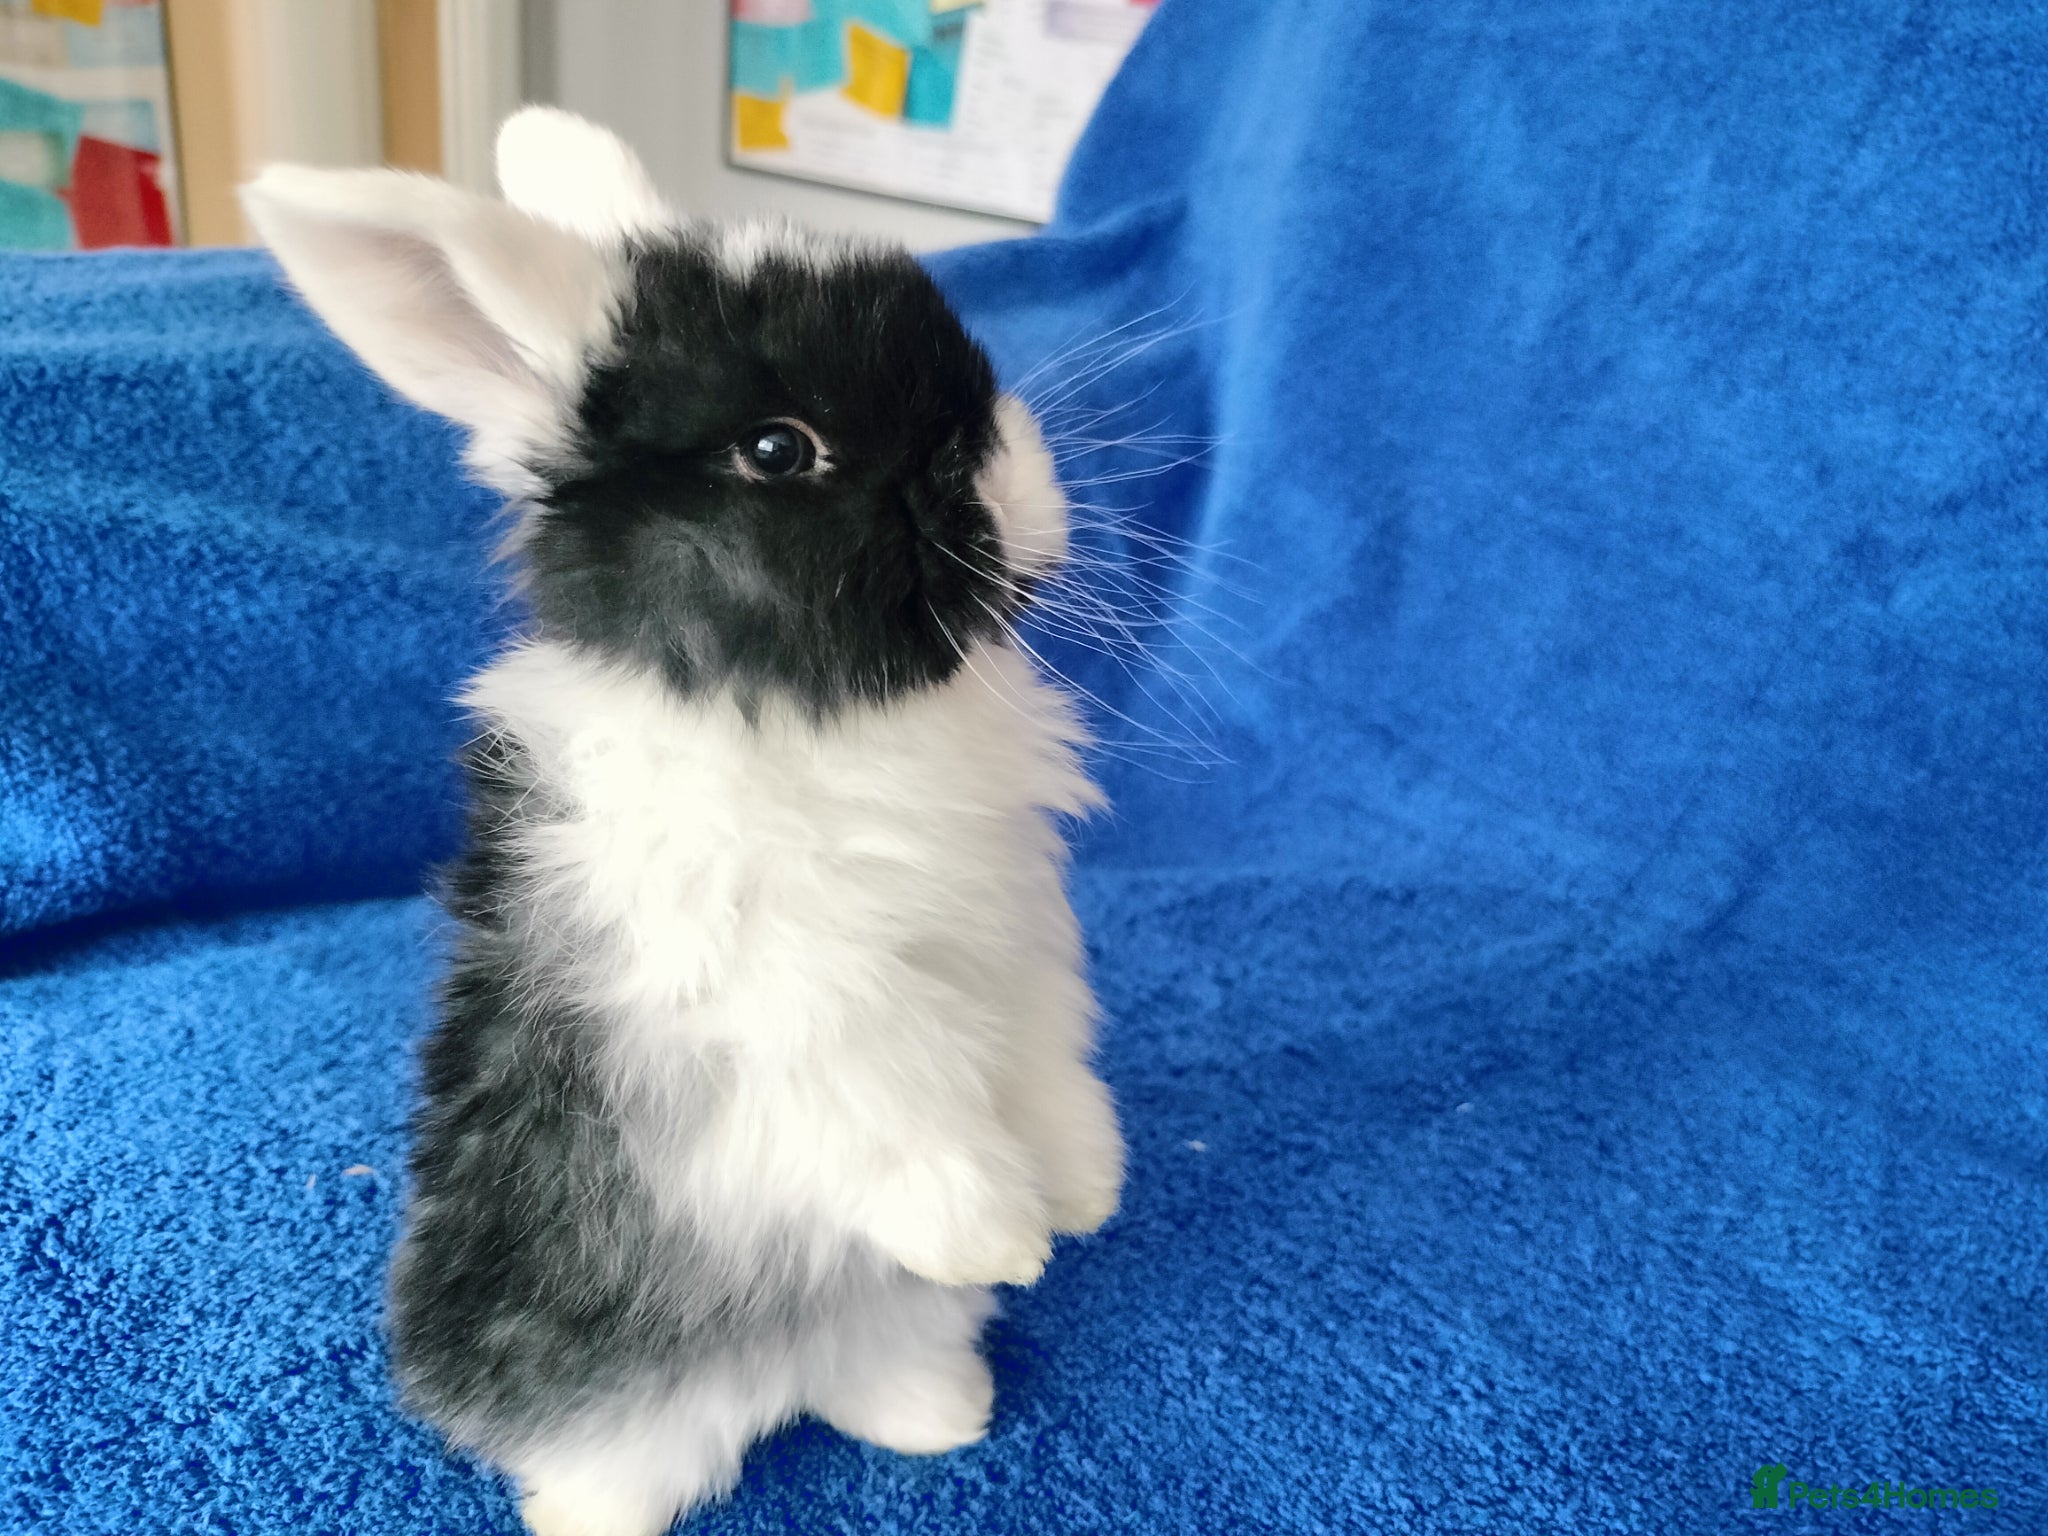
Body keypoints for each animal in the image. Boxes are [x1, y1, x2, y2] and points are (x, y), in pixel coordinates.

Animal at [240, 108, 1124, 1536]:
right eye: (776, 449)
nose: (1021, 495)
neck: (798, 712)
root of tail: (776, 1374)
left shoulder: (1020, 941)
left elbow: (1046, 1072)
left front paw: (1087, 1197)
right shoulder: (777, 987)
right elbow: (893, 1100)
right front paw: (1002, 1235)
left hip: (881, 1332)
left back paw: (942, 1419)